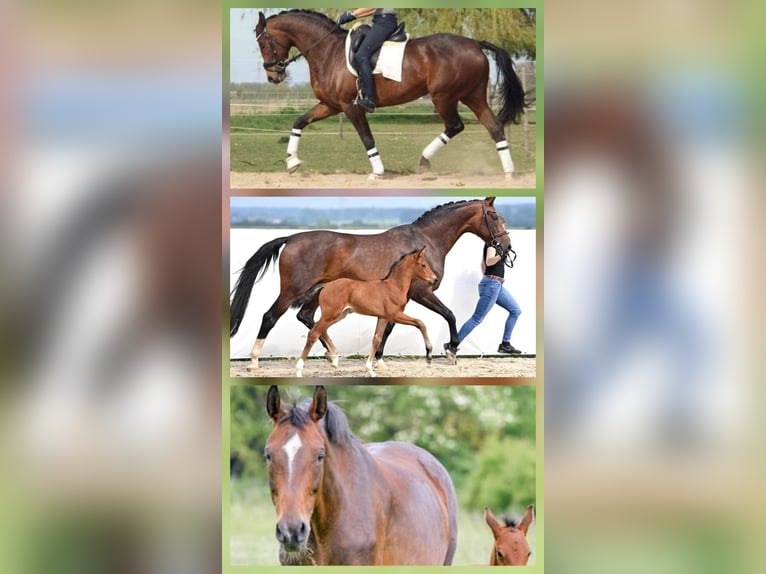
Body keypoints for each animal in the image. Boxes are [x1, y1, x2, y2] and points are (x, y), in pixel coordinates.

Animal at [253, 9, 529, 180]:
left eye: (263, 43)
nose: (273, 76)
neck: (327, 51)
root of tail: (475, 44)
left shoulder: (350, 106)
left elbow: (367, 138)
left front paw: (377, 171)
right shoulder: (330, 105)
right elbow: (299, 121)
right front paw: (292, 162)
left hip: (444, 96)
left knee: (455, 125)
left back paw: (424, 161)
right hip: (473, 96)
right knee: (494, 127)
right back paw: (508, 172)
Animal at [296, 247, 437, 377]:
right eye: (423, 264)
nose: (434, 279)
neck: (394, 287)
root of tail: (326, 285)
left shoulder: (383, 317)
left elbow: (376, 339)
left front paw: (370, 370)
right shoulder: (395, 315)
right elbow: (420, 323)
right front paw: (429, 356)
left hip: (339, 315)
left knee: (319, 328)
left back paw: (334, 358)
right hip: (331, 315)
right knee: (314, 333)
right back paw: (299, 370)